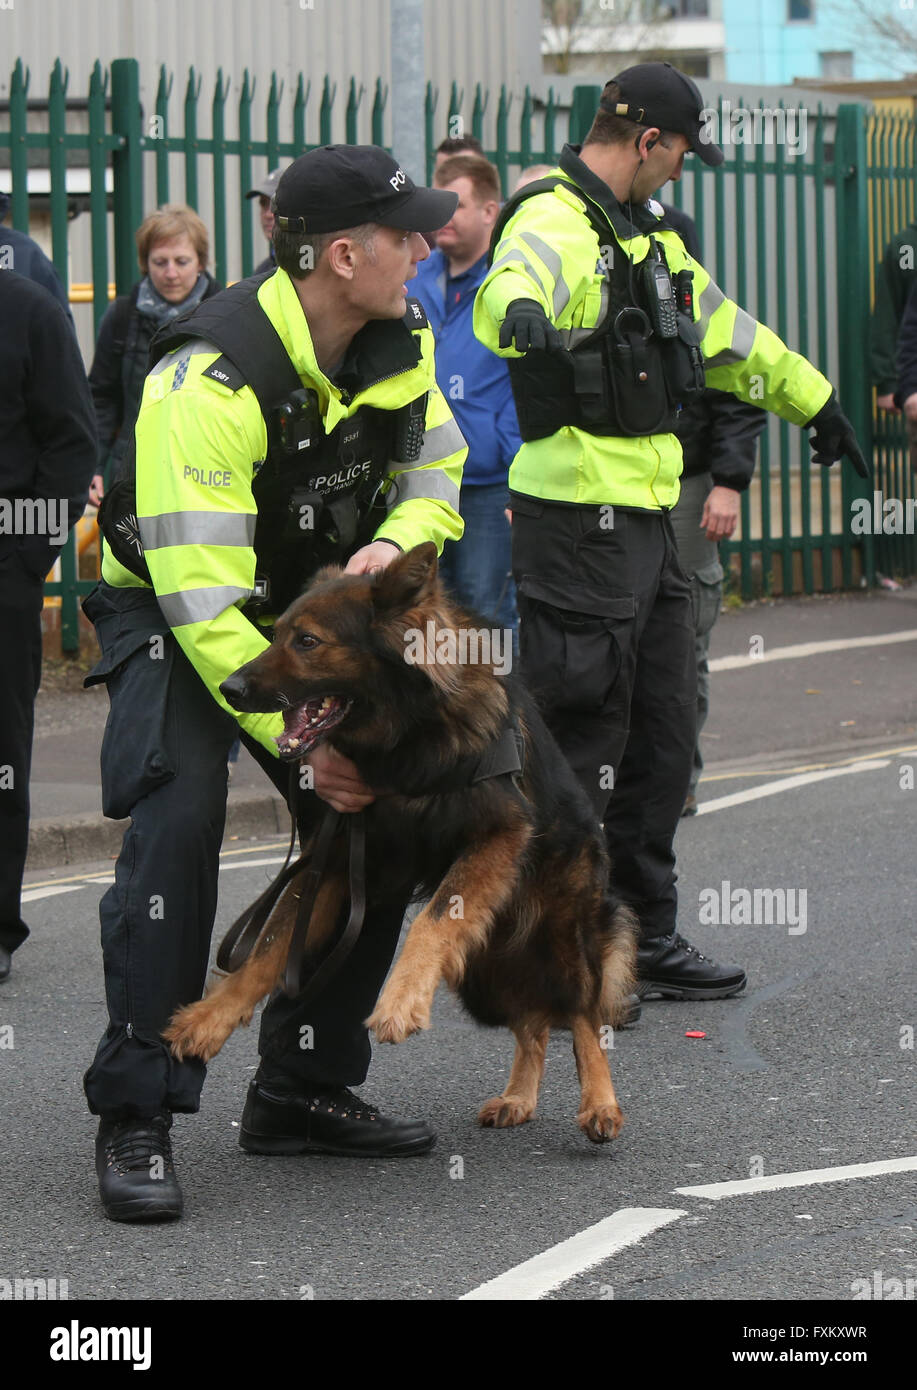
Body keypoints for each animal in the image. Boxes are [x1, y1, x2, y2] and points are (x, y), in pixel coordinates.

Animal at [164, 542, 633, 1139]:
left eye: (307, 641)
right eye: (276, 634)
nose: (229, 689)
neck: (409, 735)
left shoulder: (497, 835)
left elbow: (433, 919)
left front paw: (400, 1001)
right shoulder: (338, 858)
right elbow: (268, 949)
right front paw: (210, 1018)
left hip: (561, 937)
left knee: (581, 1015)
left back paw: (599, 1102)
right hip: (482, 975)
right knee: (533, 1023)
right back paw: (519, 1097)